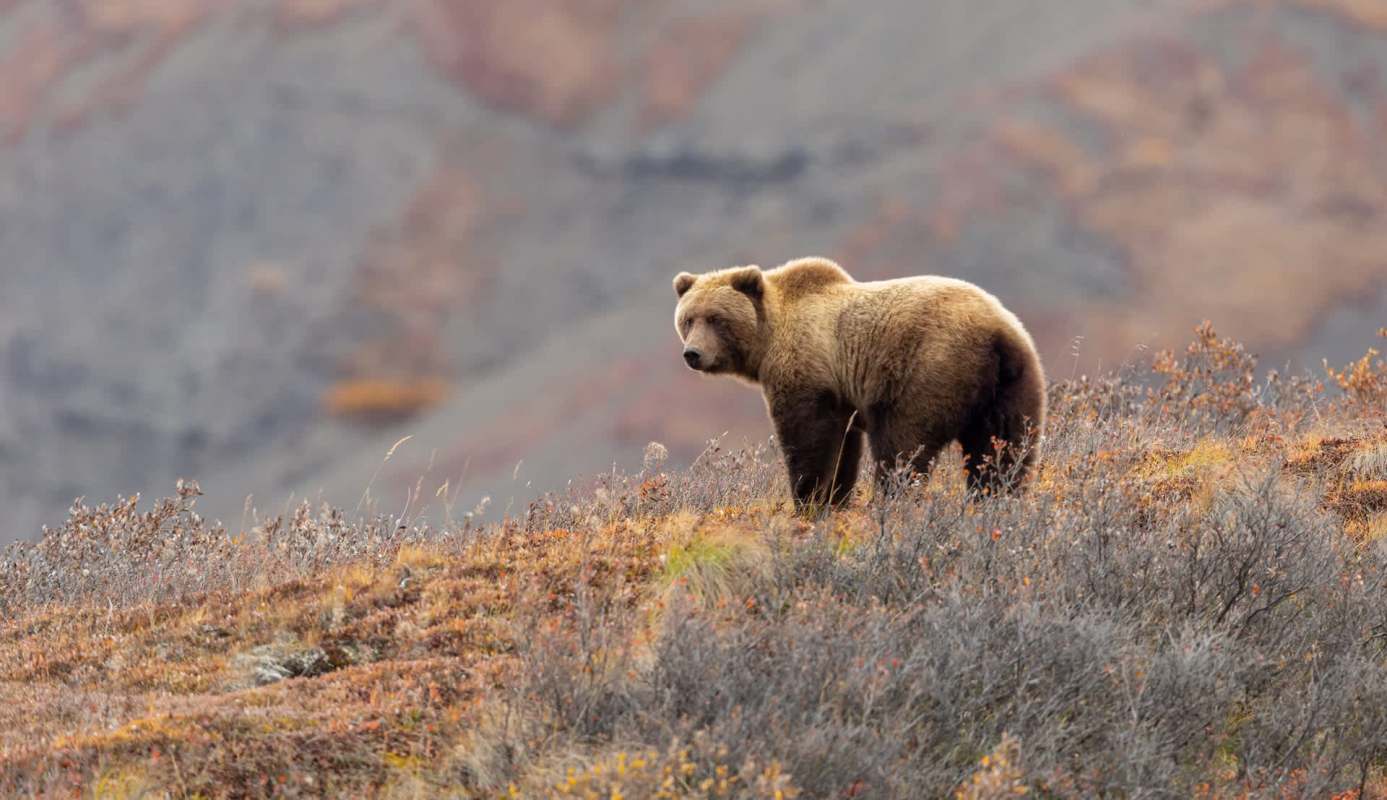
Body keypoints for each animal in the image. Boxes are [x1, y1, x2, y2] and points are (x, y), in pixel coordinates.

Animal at [673, 257, 1045, 509]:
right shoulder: (841, 395)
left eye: (716, 318)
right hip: (1012, 385)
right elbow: (843, 448)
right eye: (688, 319)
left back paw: (892, 500)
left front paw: (809, 500)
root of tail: (996, 333)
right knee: (1005, 448)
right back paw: (996, 498)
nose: (692, 354)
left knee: (902, 446)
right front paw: (835, 498)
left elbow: (808, 439)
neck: (769, 339)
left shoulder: (808, 371)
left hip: (928, 370)